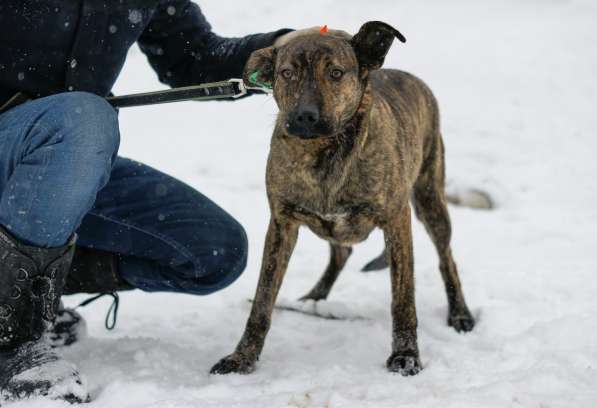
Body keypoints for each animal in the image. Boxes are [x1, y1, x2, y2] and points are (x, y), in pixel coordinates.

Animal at [210, 19, 474, 376]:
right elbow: (263, 300)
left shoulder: (396, 220)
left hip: (430, 199)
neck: (324, 152)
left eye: (335, 73)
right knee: (341, 252)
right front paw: (243, 358)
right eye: (287, 73)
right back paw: (313, 298)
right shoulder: (281, 225)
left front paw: (406, 355)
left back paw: (460, 314)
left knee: (447, 259)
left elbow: (403, 298)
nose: (305, 116)